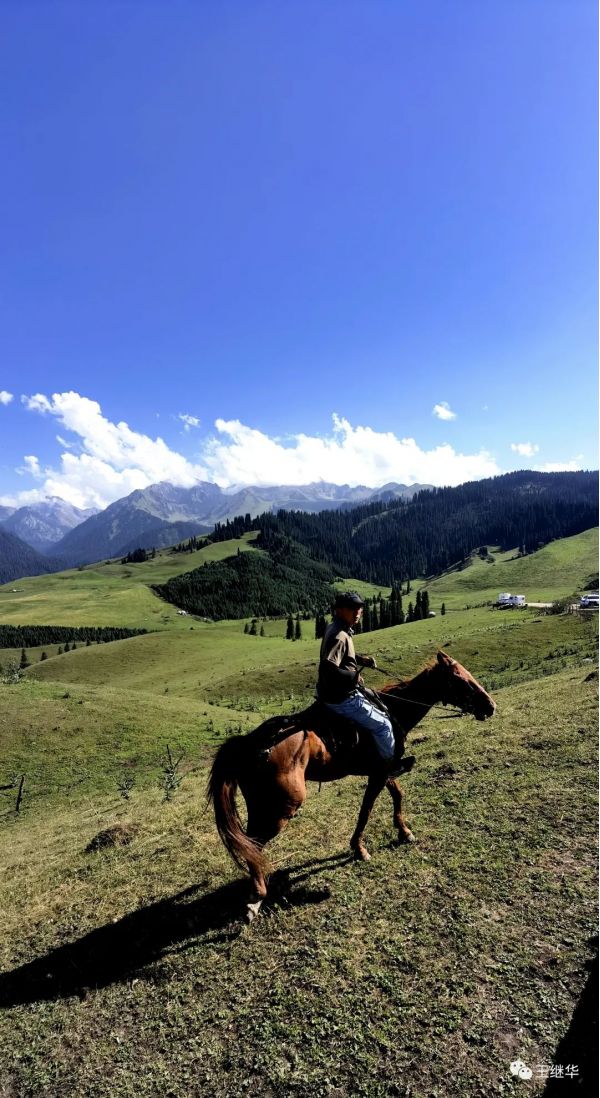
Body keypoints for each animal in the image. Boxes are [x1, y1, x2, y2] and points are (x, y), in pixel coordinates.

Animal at [207, 650, 496, 921]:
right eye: (460, 679)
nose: (491, 706)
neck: (394, 710)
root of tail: (246, 744)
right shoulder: (378, 773)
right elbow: (366, 810)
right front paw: (359, 848)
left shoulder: (384, 769)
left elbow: (398, 795)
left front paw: (404, 831)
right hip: (281, 809)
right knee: (253, 844)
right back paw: (256, 898)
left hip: (261, 806)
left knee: (249, 843)